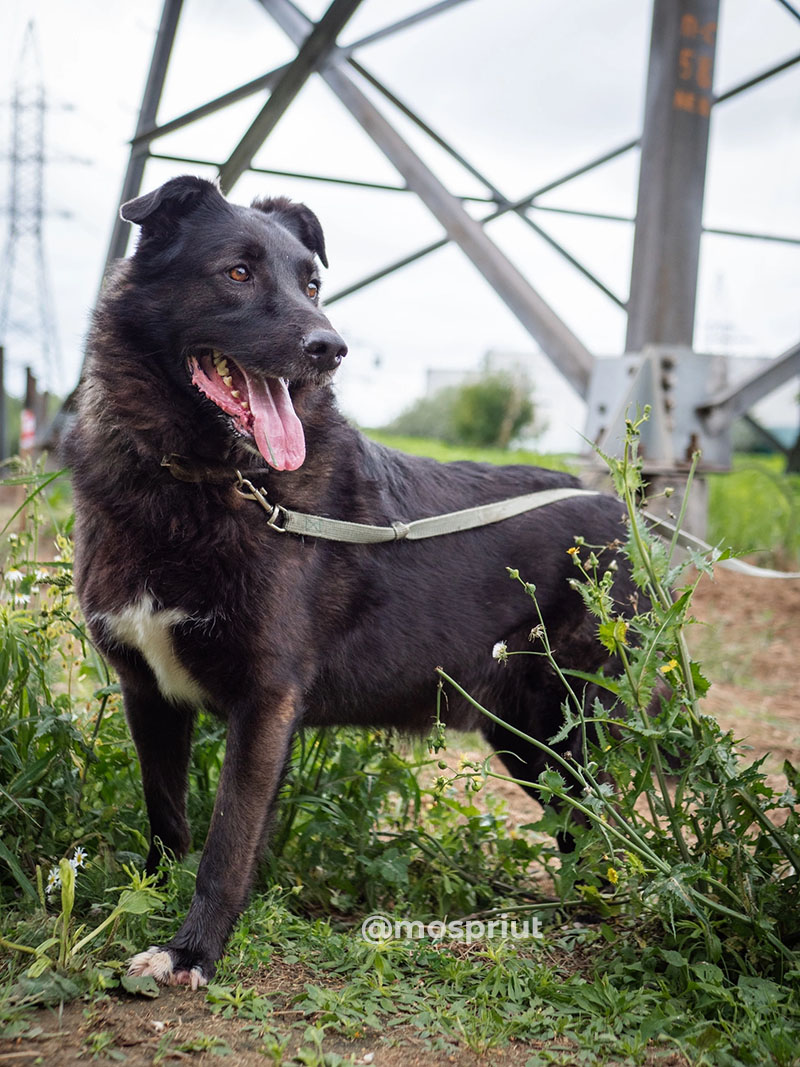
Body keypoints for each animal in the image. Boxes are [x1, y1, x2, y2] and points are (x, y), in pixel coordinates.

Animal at [64, 177, 640, 990]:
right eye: (237, 272)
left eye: (312, 285)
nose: (329, 348)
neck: (204, 481)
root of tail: (629, 512)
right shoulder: (148, 693)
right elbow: (167, 820)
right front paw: (151, 902)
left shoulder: (267, 700)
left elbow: (227, 841)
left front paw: (193, 952)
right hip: (530, 737)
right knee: (579, 829)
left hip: (577, 726)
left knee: (605, 827)